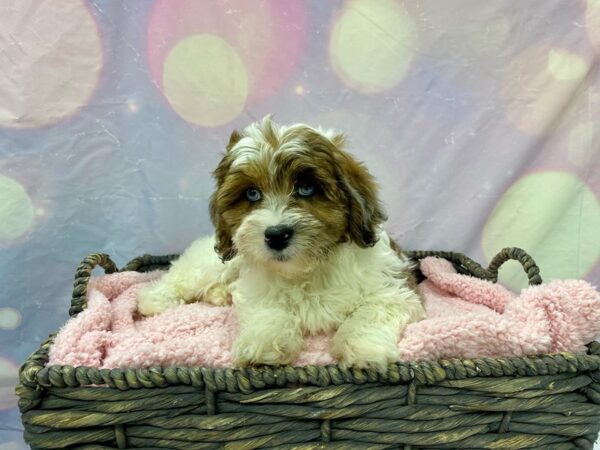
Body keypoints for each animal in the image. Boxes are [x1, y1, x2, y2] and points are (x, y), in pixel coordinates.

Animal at [138, 117, 424, 372]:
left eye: (306, 188)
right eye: (252, 193)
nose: (276, 235)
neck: (307, 269)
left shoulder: (394, 290)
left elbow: (370, 313)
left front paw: (363, 350)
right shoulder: (256, 291)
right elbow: (270, 311)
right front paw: (264, 343)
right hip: (214, 265)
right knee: (180, 278)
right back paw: (153, 300)